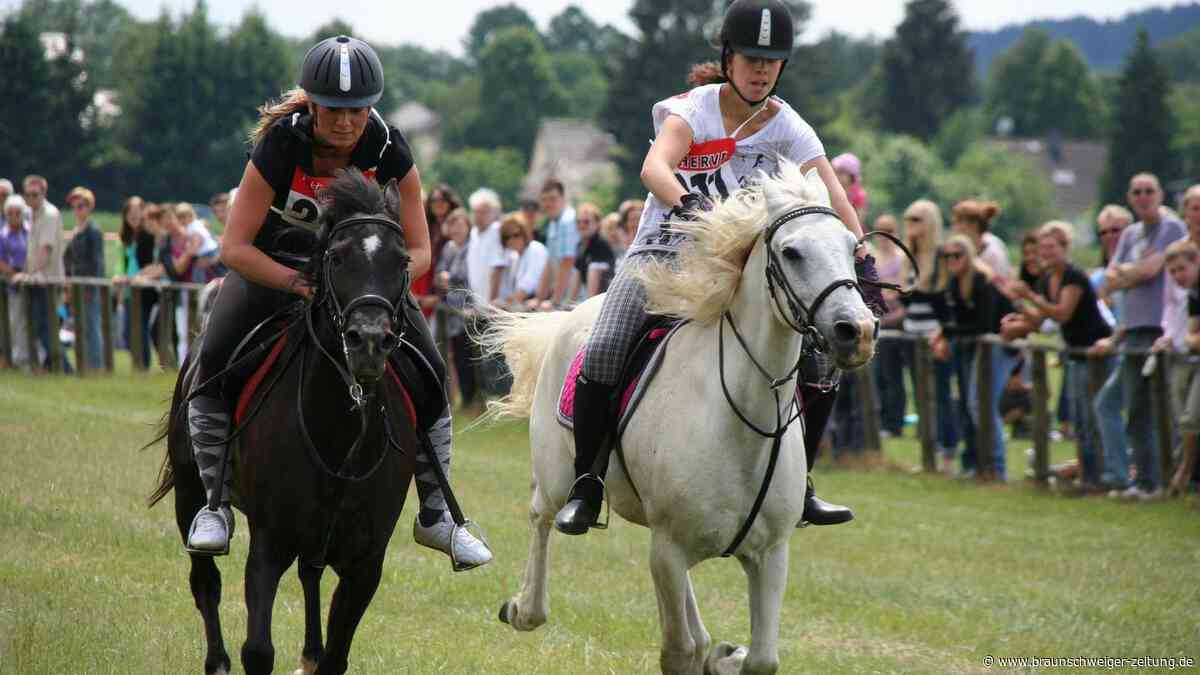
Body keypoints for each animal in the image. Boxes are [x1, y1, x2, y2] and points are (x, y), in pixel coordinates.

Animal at [150, 169, 422, 672]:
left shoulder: (365, 564)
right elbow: (258, 649)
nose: (369, 342)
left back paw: (308, 655)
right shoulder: (269, 543)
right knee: (205, 581)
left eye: (403, 260)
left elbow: (336, 654)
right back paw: (216, 660)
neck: (340, 431)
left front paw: (318, 656)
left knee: (310, 575)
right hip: (189, 492)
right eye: (337, 256)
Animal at [477, 164, 873, 672]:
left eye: (851, 247)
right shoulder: (667, 550)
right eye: (792, 251)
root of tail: (572, 313)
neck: (741, 423)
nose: (856, 331)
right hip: (556, 477)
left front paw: (728, 656)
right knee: (539, 518)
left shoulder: (771, 554)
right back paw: (524, 606)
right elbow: (679, 652)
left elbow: (759, 658)